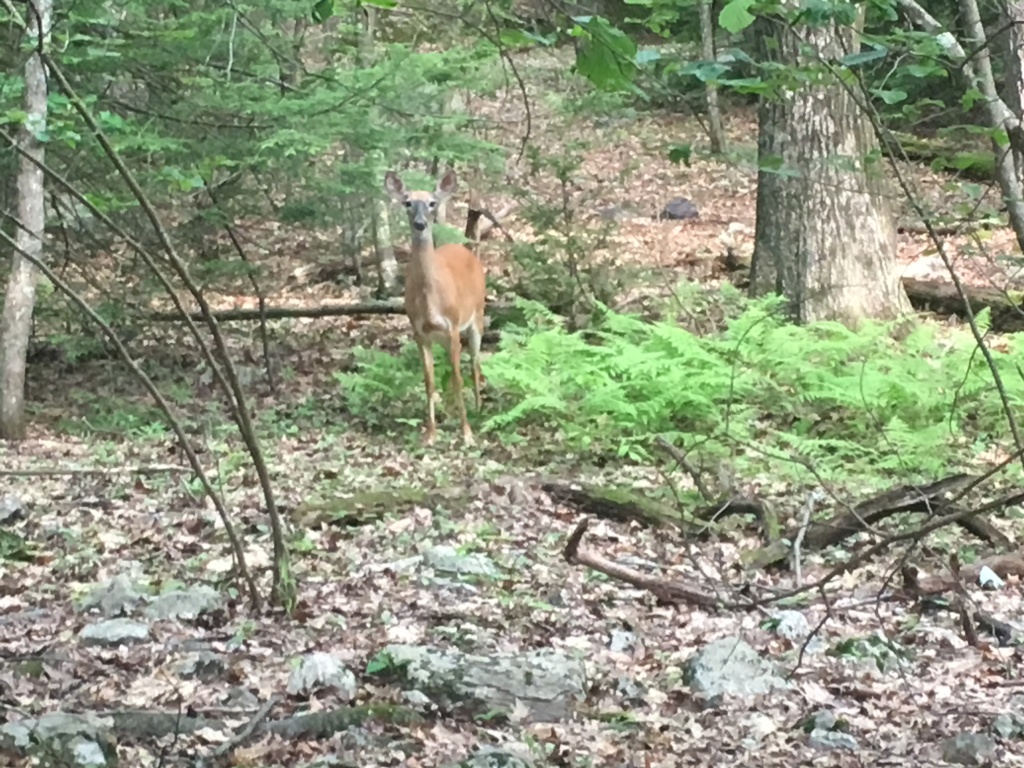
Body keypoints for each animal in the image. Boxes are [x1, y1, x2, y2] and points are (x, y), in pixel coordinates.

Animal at [384, 169, 486, 447]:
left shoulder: (453, 326)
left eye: (432, 203)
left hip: (477, 316)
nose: (420, 224)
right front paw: (430, 434)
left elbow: (458, 378)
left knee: (473, 363)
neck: (430, 300)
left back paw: (477, 407)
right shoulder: (420, 332)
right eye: (407, 202)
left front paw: (467, 433)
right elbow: (429, 381)